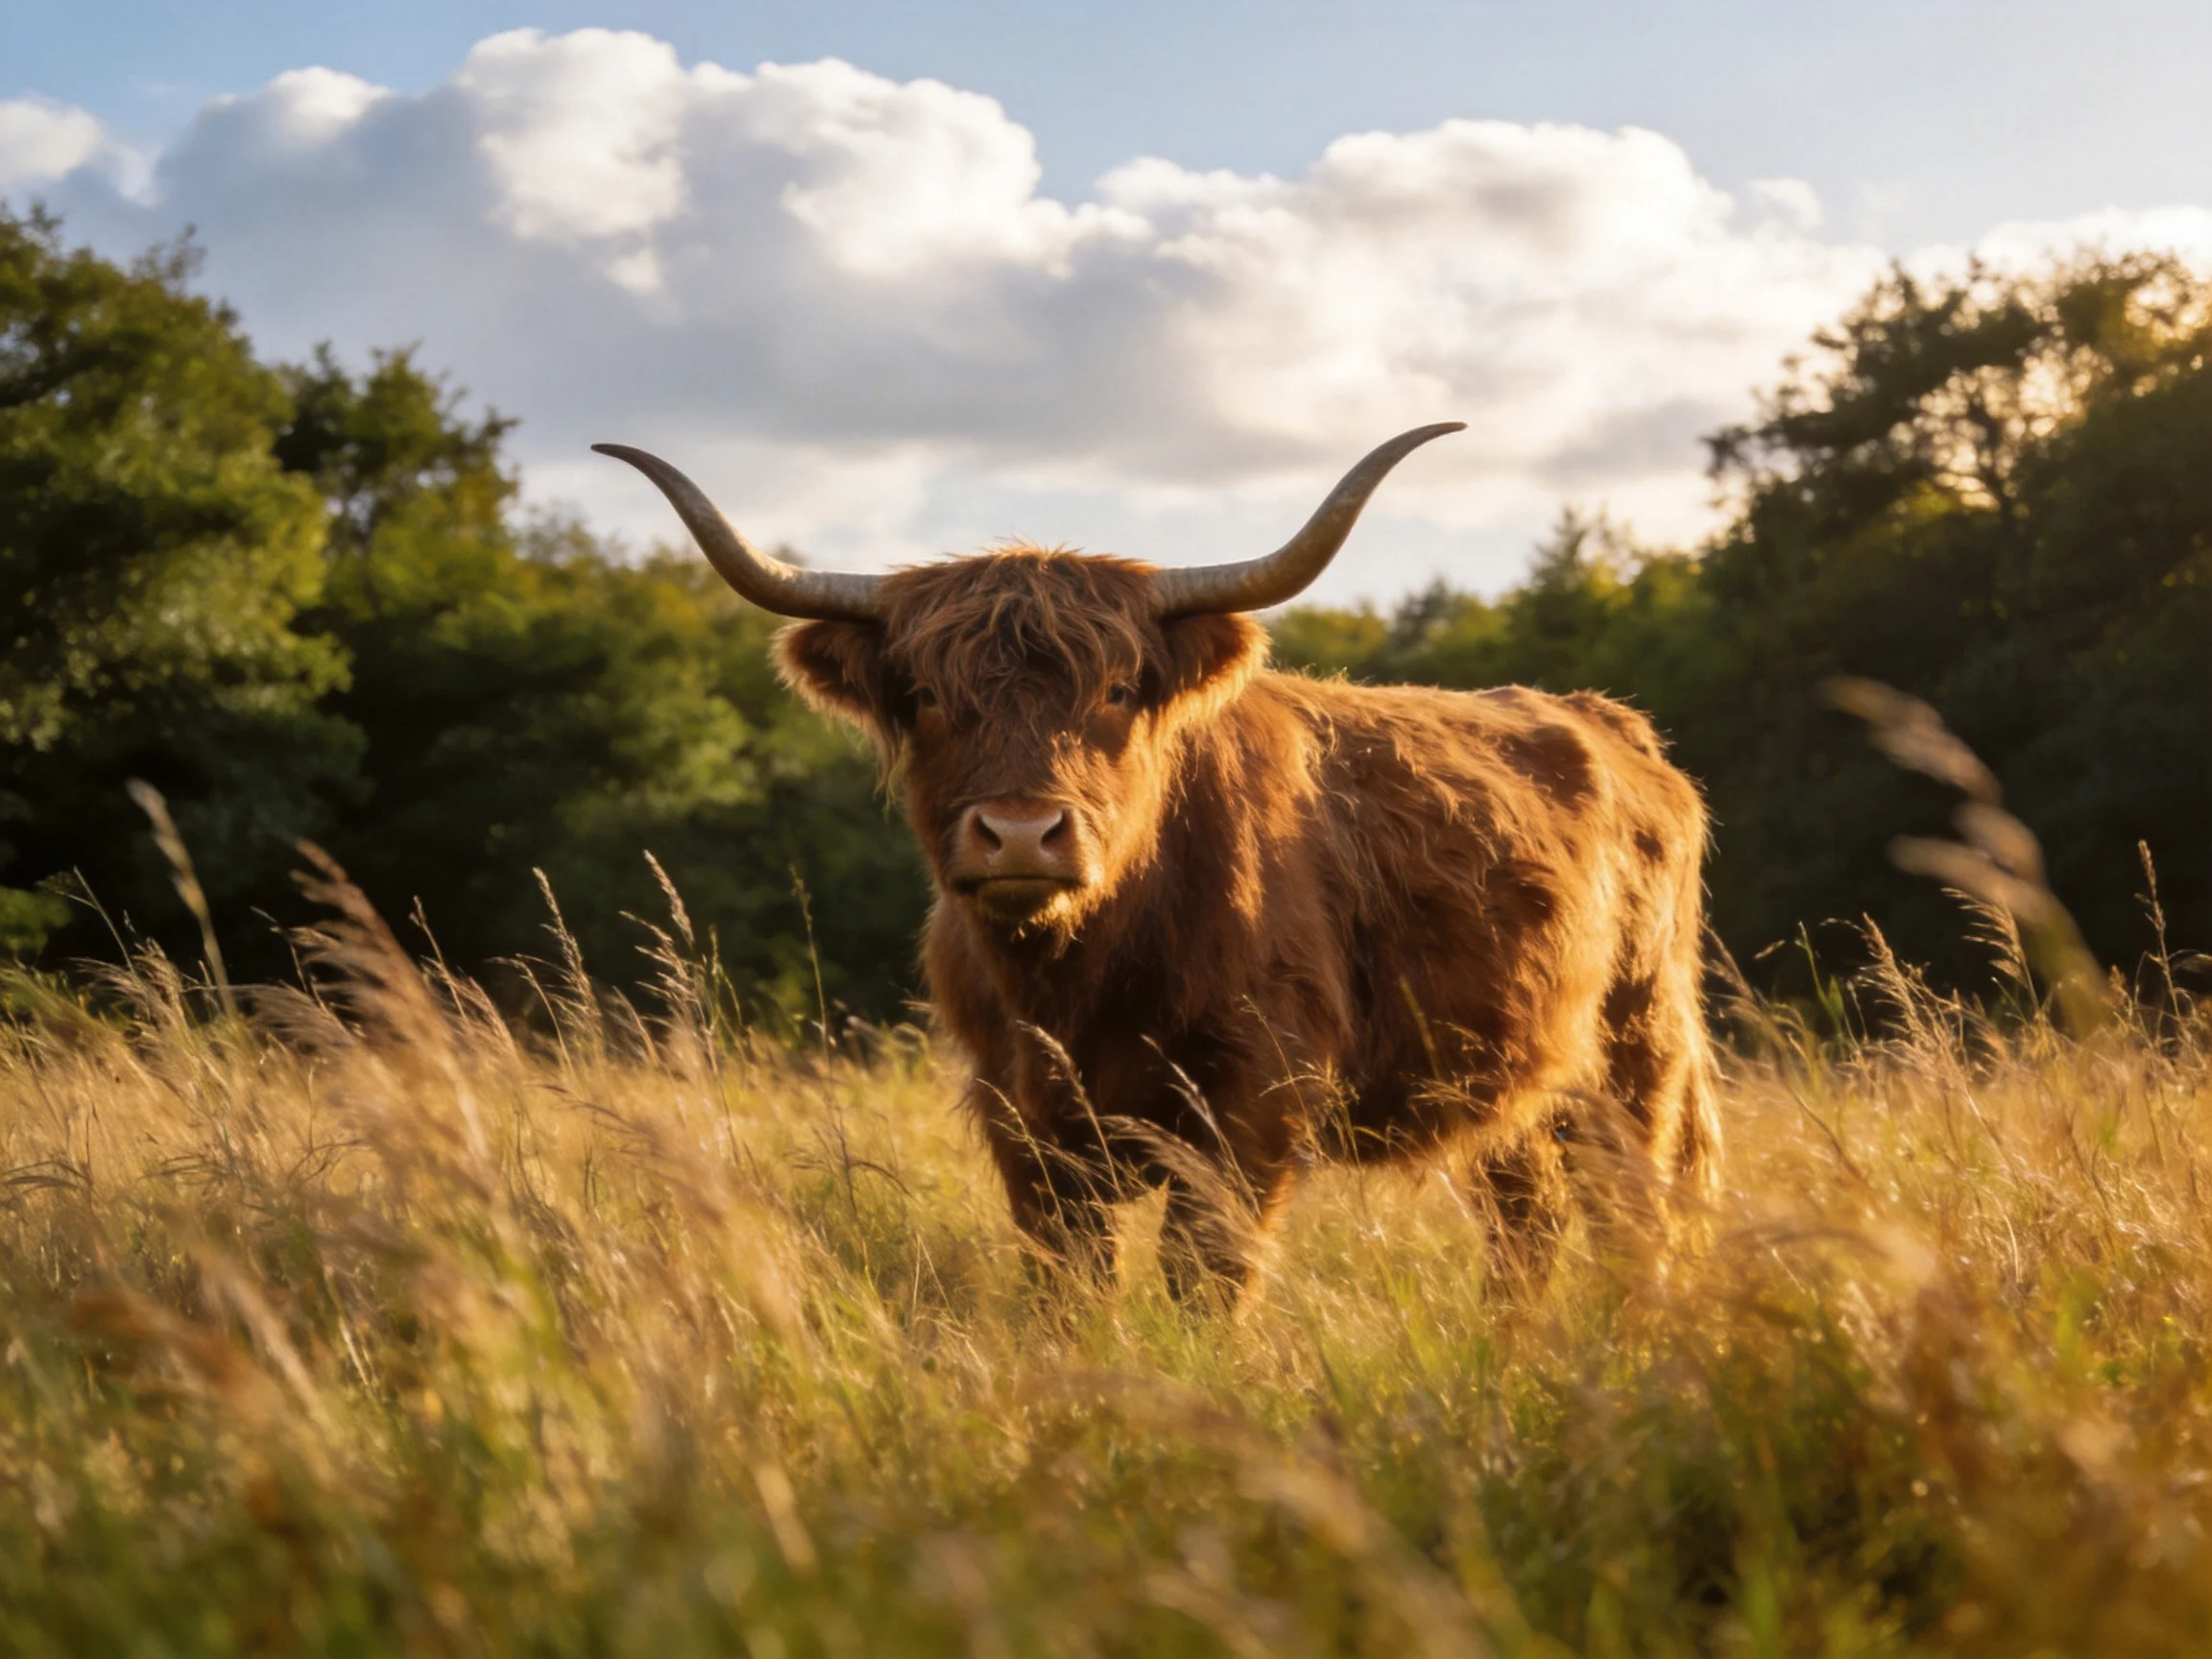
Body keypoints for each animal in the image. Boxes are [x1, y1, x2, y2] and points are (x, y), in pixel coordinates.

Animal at [598, 427, 1720, 1299]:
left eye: (1118, 689)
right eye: (922, 695)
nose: (1020, 833)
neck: (1080, 977)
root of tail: (1613, 724)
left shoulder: (1250, 1100)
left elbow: (1203, 1276)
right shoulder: (1025, 1119)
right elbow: (1069, 1283)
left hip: (1637, 1054)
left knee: (1636, 1223)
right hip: (1517, 1090)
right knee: (1527, 1227)